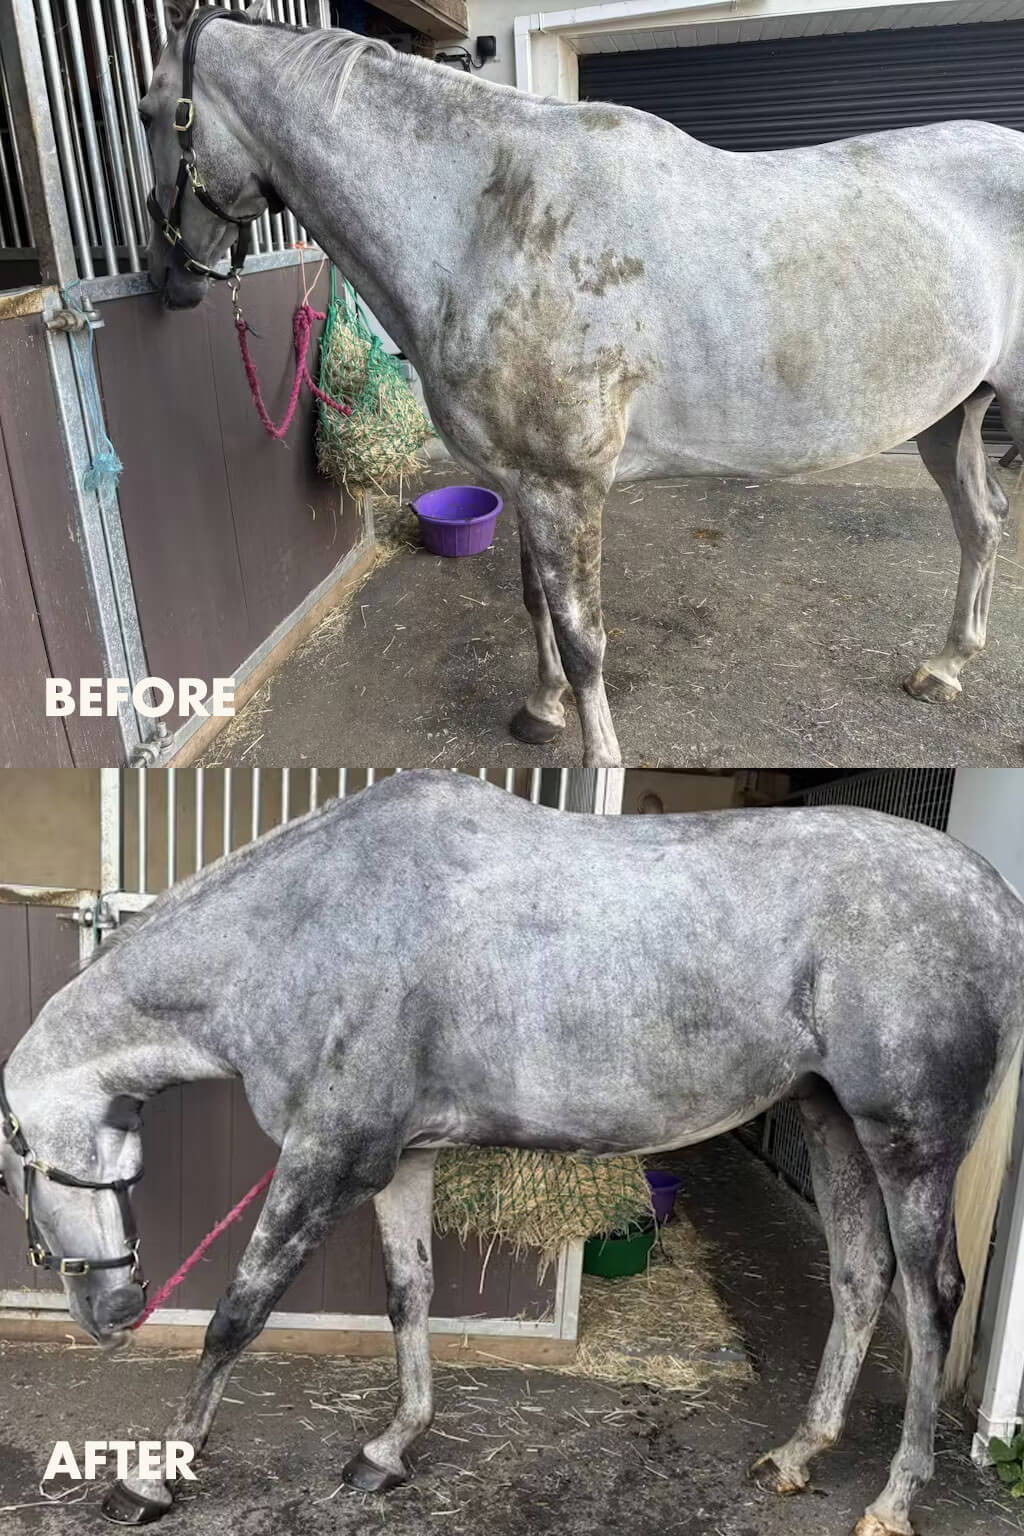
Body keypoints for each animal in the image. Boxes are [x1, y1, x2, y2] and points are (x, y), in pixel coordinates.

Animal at [1, 771, 1021, 1535]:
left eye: (16, 1165)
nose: (108, 1309)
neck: (303, 932)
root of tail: (998, 902)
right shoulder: (398, 1160)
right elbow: (409, 1297)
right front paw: (387, 1452)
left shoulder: (328, 1157)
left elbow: (236, 1316)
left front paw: (151, 1479)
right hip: (830, 1121)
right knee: (859, 1277)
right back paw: (799, 1454)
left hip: (911, 1143)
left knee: (931, 1298)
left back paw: (894, 1498)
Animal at [140, 1, 1024, 766]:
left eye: (150, 113)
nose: (166, 279)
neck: (491, 219)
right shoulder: (522, 481)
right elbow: (536, 604)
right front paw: (542, 709)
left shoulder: (564, 486)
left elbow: (583, 636)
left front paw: (599, 762)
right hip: (950, 415)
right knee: (981, 521)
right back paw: (945, 666)